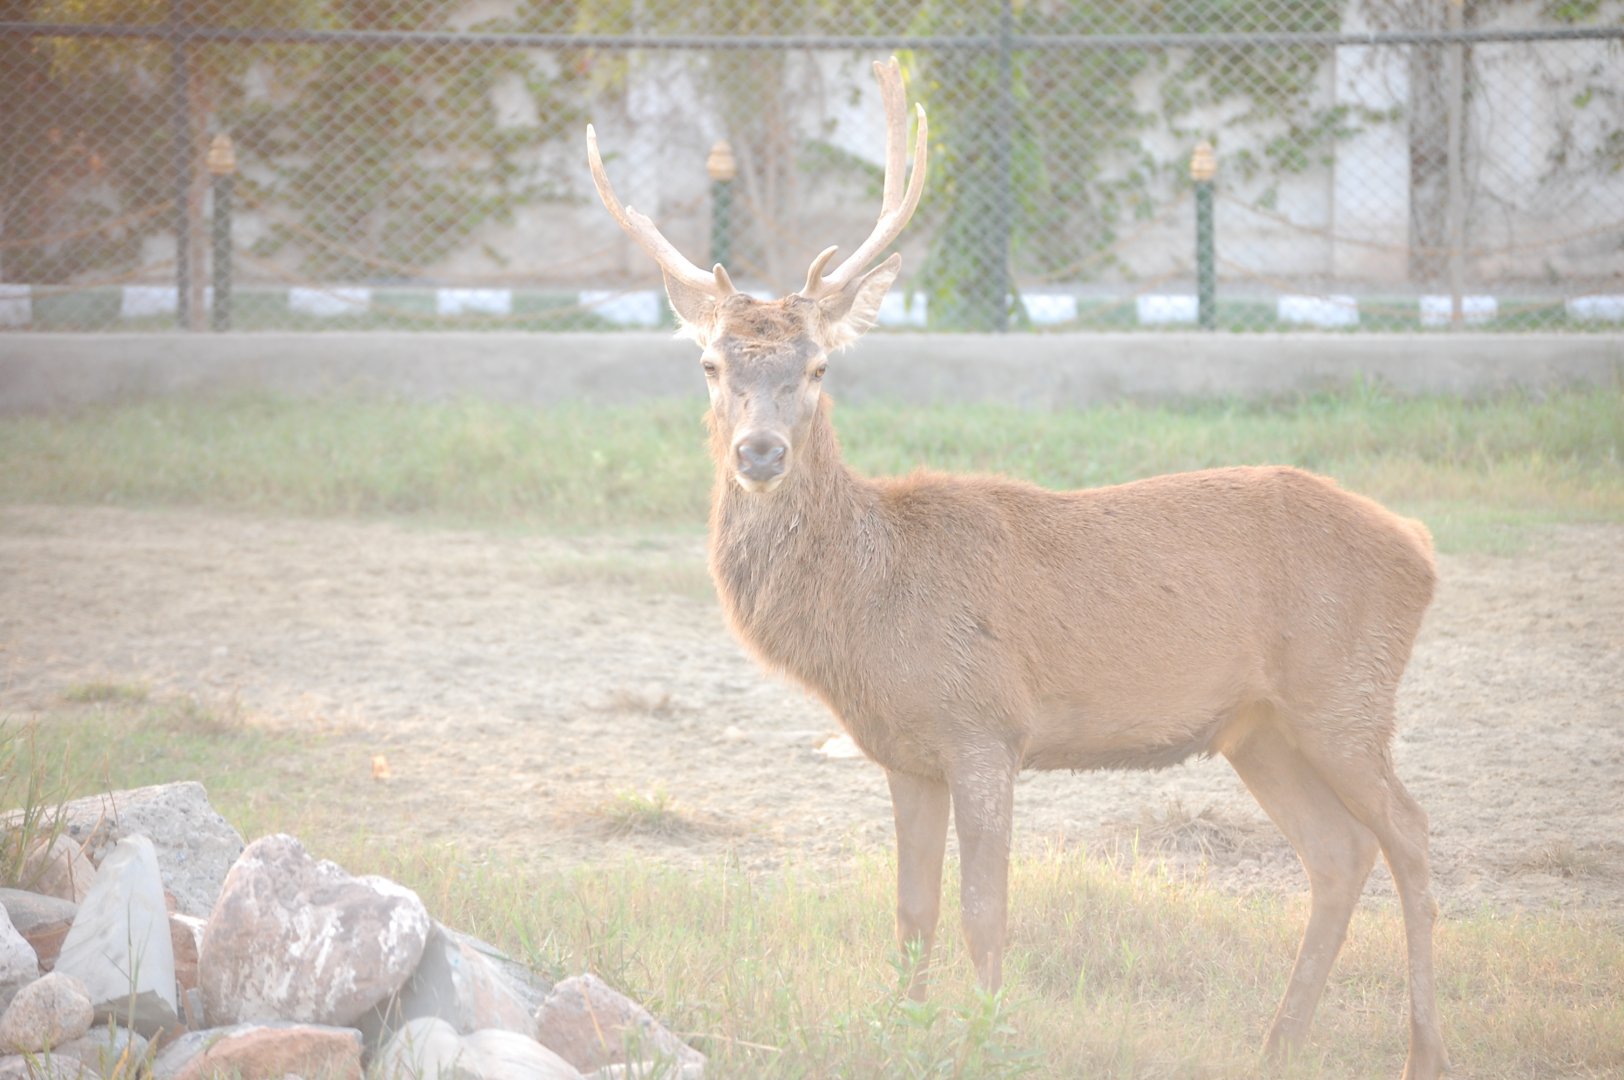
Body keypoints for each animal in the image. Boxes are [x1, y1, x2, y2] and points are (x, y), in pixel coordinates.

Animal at [586, 58, 1448, 1080]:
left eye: (820, 366)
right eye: (713, 365)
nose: (760, 452)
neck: (872, 603)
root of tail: (1420, 547)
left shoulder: (985, 724)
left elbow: (985, 913)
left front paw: (984, 1039)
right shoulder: (906, 752)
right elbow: (912, 912)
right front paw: (903, 1033)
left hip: (1344, 692)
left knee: (1410, 834)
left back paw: (1422, 1049)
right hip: (1260, 727)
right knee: (1338, 852)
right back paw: (1278, 1042)